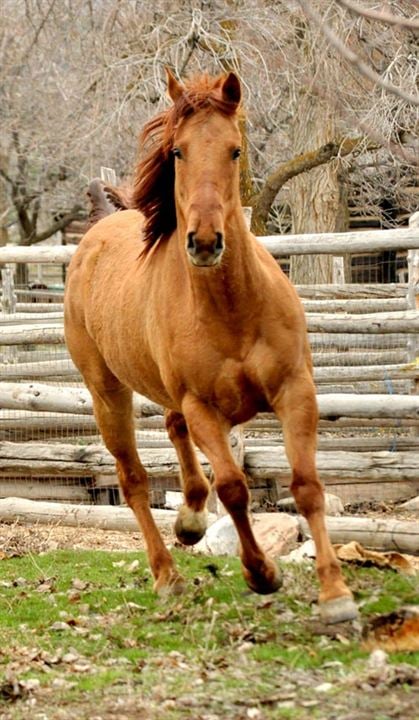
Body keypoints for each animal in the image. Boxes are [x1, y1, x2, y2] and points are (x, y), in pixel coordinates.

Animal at [65, 69, 358, 624]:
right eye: (178, 152)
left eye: (234, 150)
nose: (204, 241)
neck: (233, 310)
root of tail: (96, 233)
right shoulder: (205, 408)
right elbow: (235, 488)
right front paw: (261, 573)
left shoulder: (295, 391)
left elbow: (306, 485)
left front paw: (336, 595)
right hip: (107, 393)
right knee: (134, 479)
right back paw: (168, 577)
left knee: (173, 430)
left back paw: (190, 520)